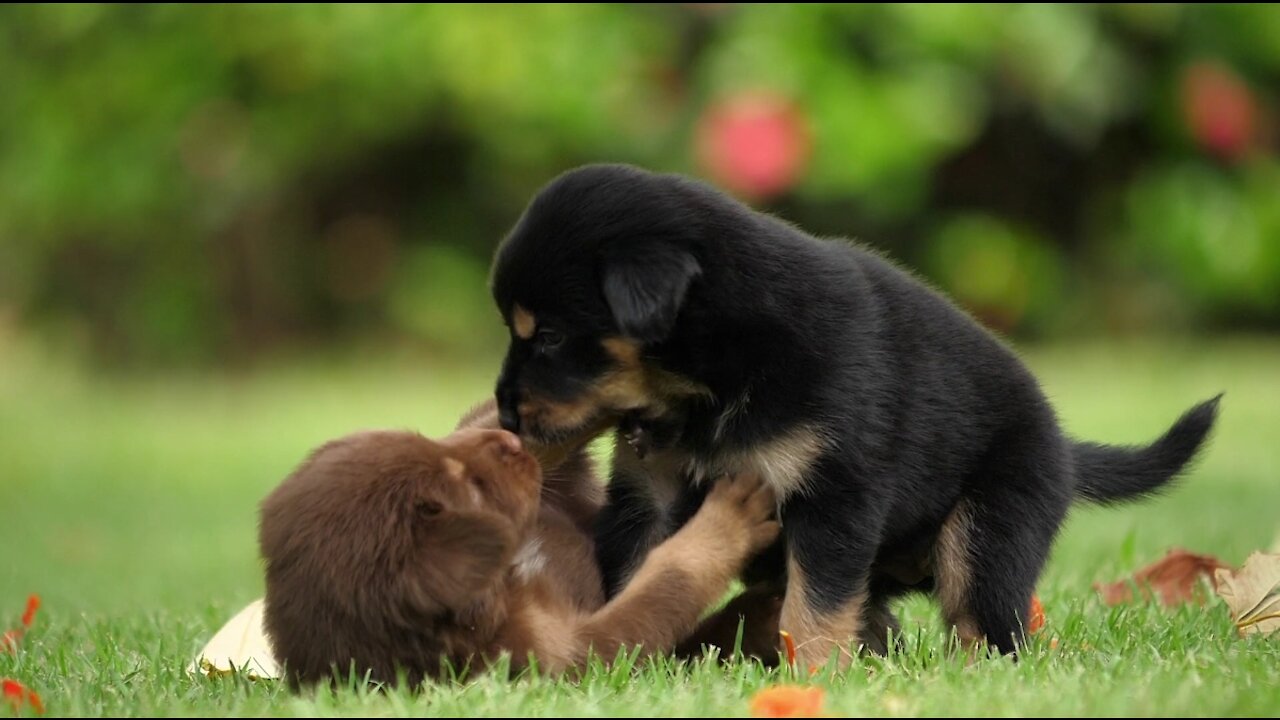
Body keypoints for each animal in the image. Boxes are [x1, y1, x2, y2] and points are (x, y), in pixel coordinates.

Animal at [254, 399, 773, 686]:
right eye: (470, 486)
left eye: (432, 443)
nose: (511, 442)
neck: (509, 578)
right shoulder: (567, 653)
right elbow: (665, 583)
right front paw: (730, 519)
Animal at [486, 161, 1218, 661]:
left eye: (547, 336)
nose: (504, 414)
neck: (711, 382)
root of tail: (1062, 445)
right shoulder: (651, 491)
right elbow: (638, 574)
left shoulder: (835, 493)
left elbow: (814, 606)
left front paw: (813, 675)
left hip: (991, 527)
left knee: (986, 626)